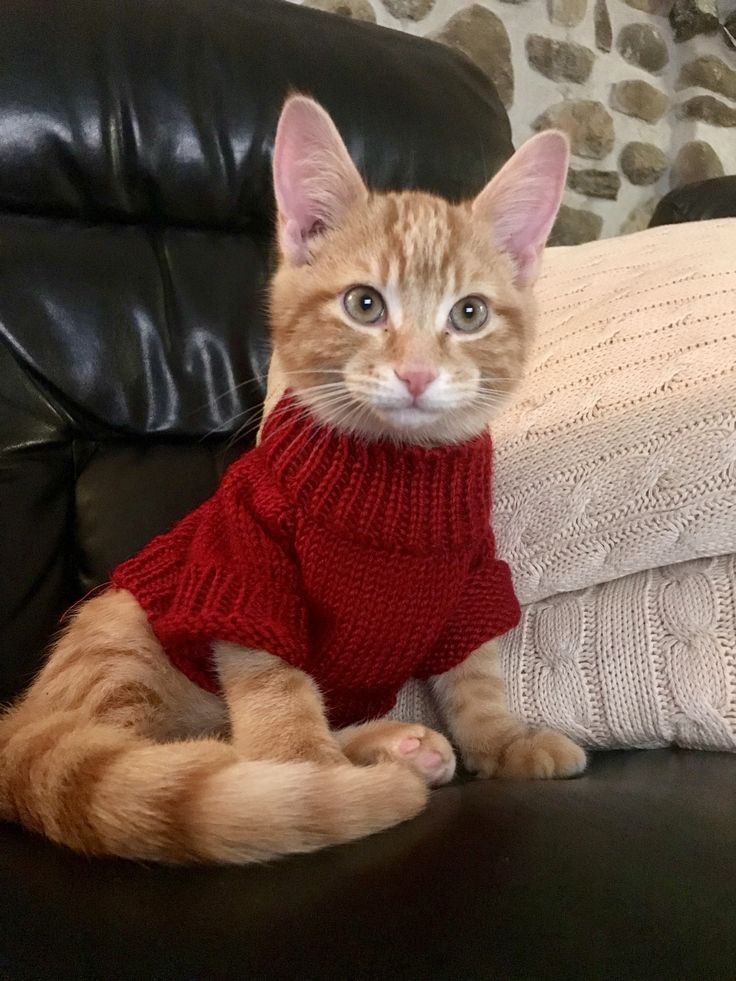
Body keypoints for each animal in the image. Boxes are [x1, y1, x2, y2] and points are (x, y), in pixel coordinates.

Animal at [0, 95, 588, 860]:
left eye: (470, 313)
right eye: (365, 304)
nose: (417, 374)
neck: (391, 477)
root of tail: (23, 716)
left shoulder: (470, 580)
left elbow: (477, 673)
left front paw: (505, 739)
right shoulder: (247, 569)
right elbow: (275, 690)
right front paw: (309, 771)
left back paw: (395, 746)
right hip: (124, 635)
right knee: (172, 752)